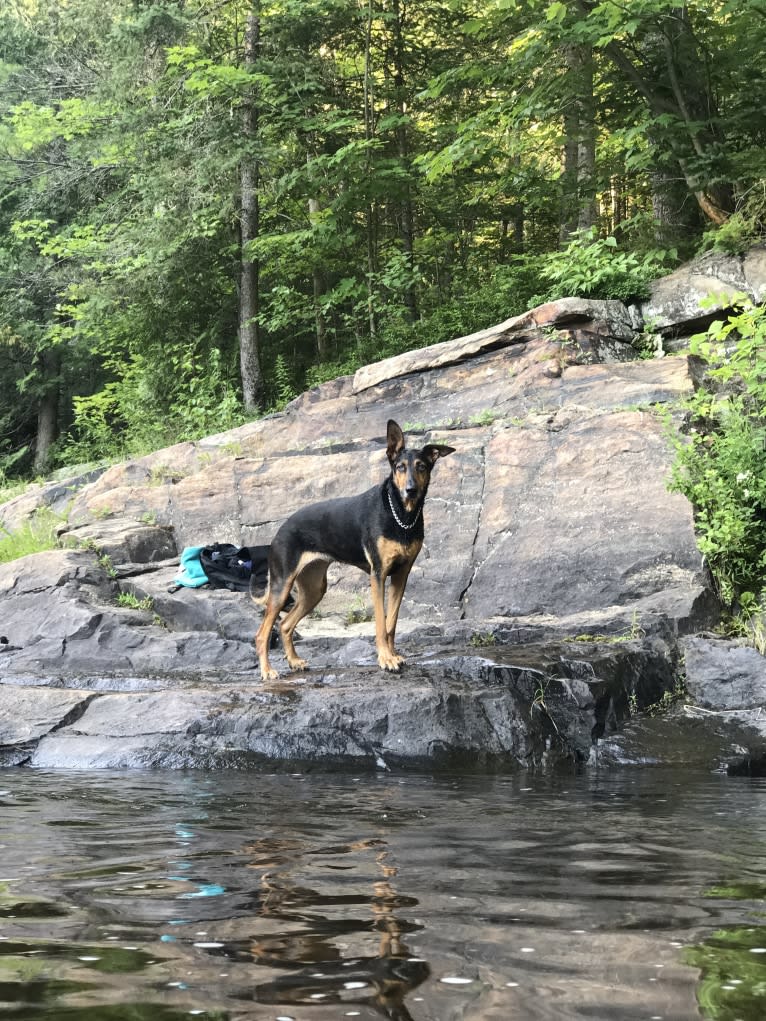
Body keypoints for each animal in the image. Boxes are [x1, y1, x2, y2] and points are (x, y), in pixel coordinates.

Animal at [255, 418, 453, 682]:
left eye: (421, 467)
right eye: (400, 467)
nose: (410, 490)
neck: (401, 514)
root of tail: (279, 531)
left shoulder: (401, 575)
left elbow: (391, 623)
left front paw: (393, 655)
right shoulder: (378, 575)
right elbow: (380, 623)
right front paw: (385, 659)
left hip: (314, 589)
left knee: (285, 625)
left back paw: (294, 661)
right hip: (282, 586)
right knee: (262, 633)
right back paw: (267, 670)